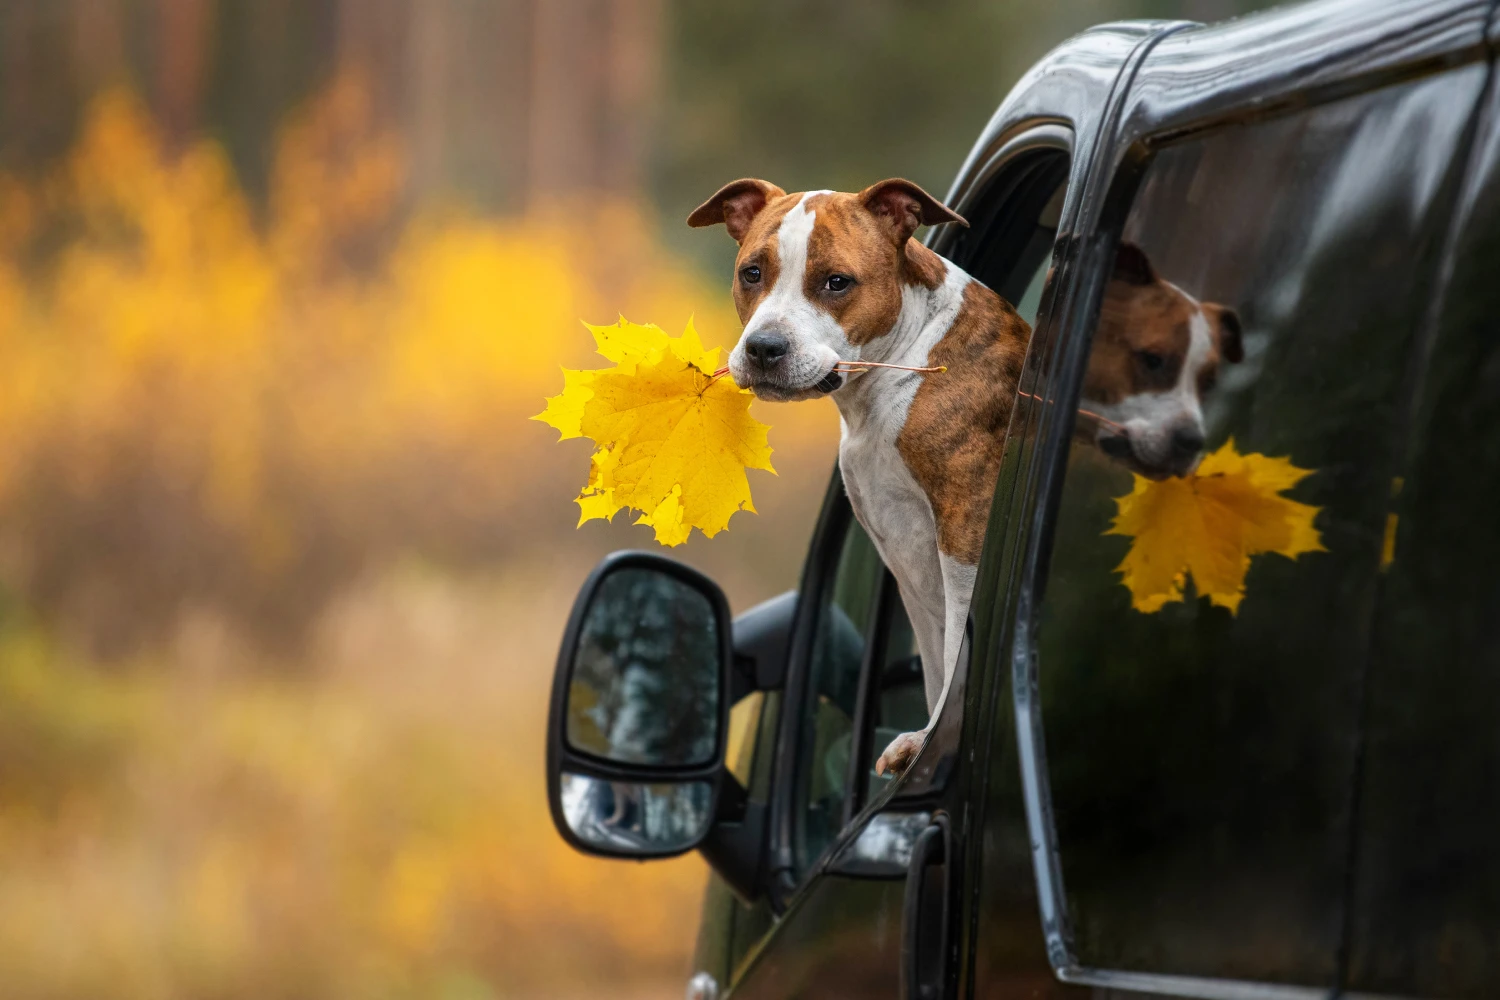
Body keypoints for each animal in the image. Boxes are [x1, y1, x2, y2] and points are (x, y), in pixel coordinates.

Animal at [690, 177, 1242, 773]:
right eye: (752, 273)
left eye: (837, 282)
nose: (764, 348)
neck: (907, 359)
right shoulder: (904, 551)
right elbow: (937, 659)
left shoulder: (964, 532)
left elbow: (958, 644)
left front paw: (932, 743)